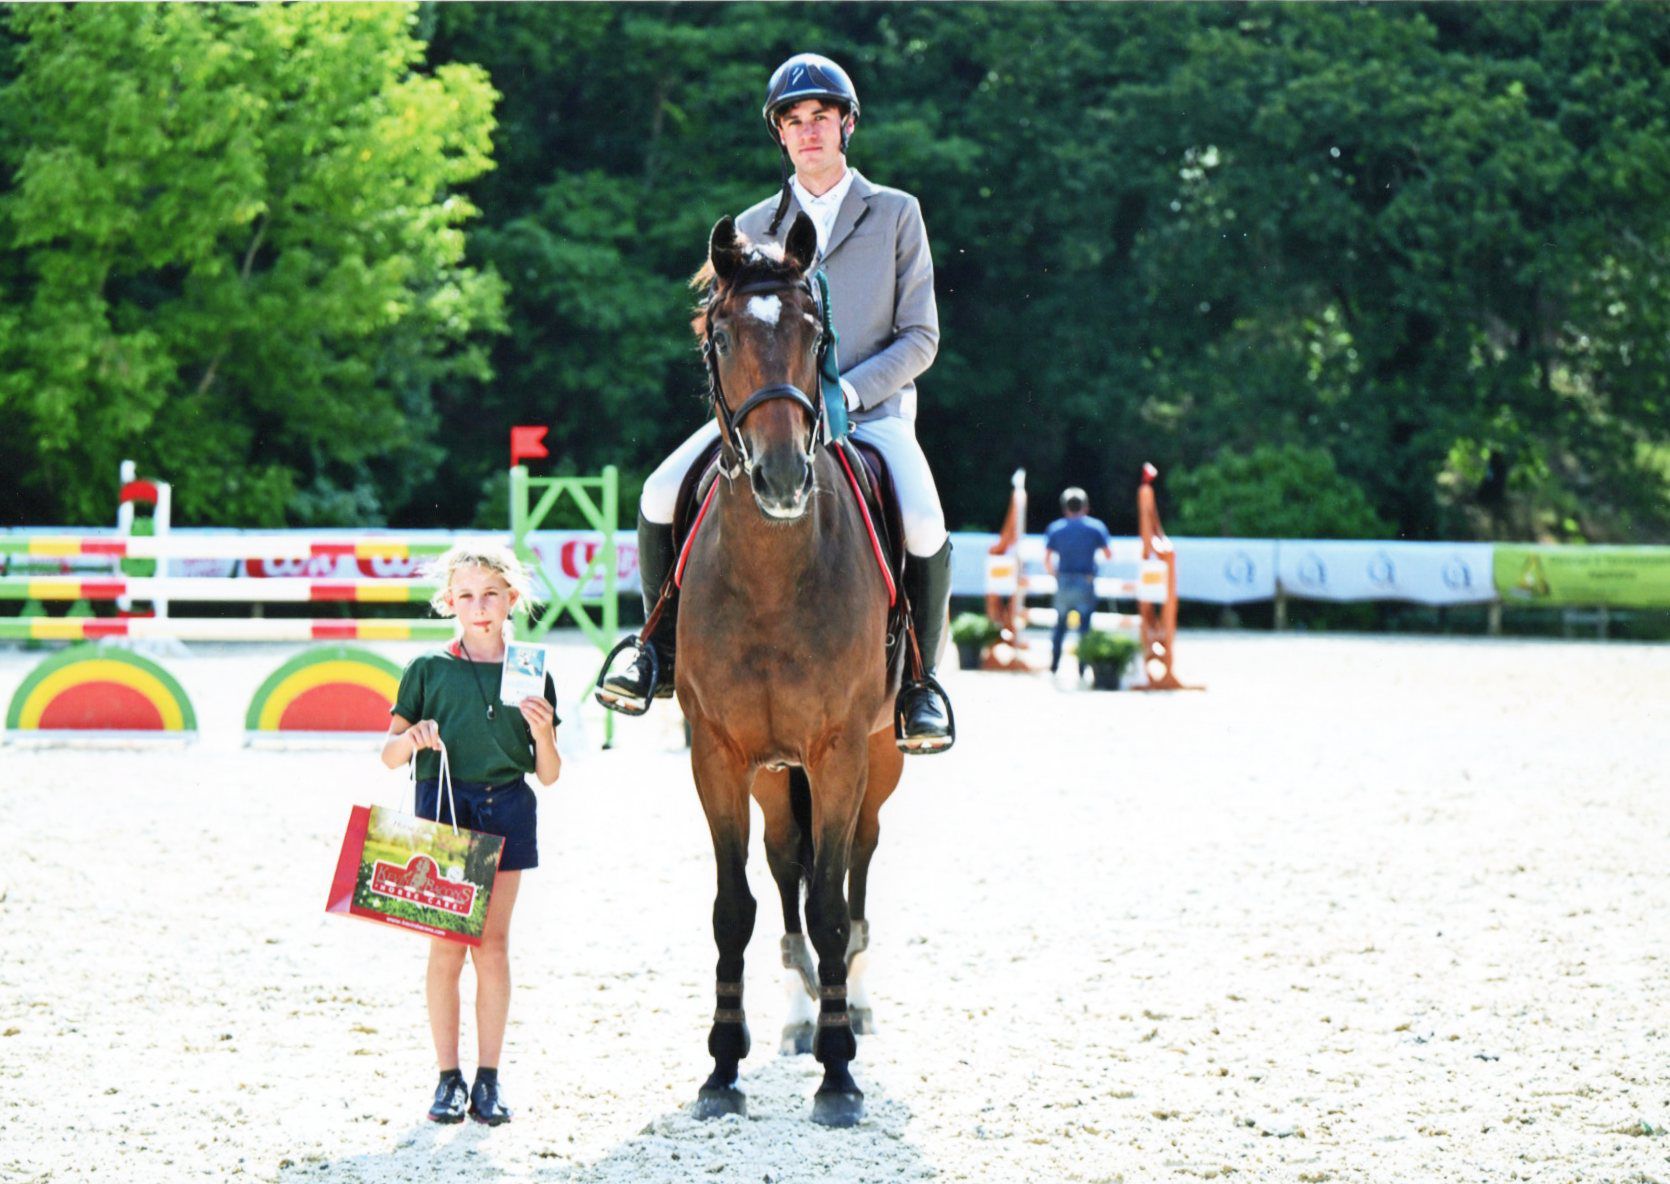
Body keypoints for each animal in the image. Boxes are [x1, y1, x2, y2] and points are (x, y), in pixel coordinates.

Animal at [674, 212, 908, 1127]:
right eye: (721, 335)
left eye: (815, 335)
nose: (780, 477)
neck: (773, 575)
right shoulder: (717, 753)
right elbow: (731, 908)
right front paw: (720, 1065)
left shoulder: (839, 751)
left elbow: (834, 906)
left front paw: (840, 1076)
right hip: (776, 772)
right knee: (784, 862)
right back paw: (803, 1007)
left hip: (878, 757)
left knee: (860, 864)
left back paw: (852, 1006)